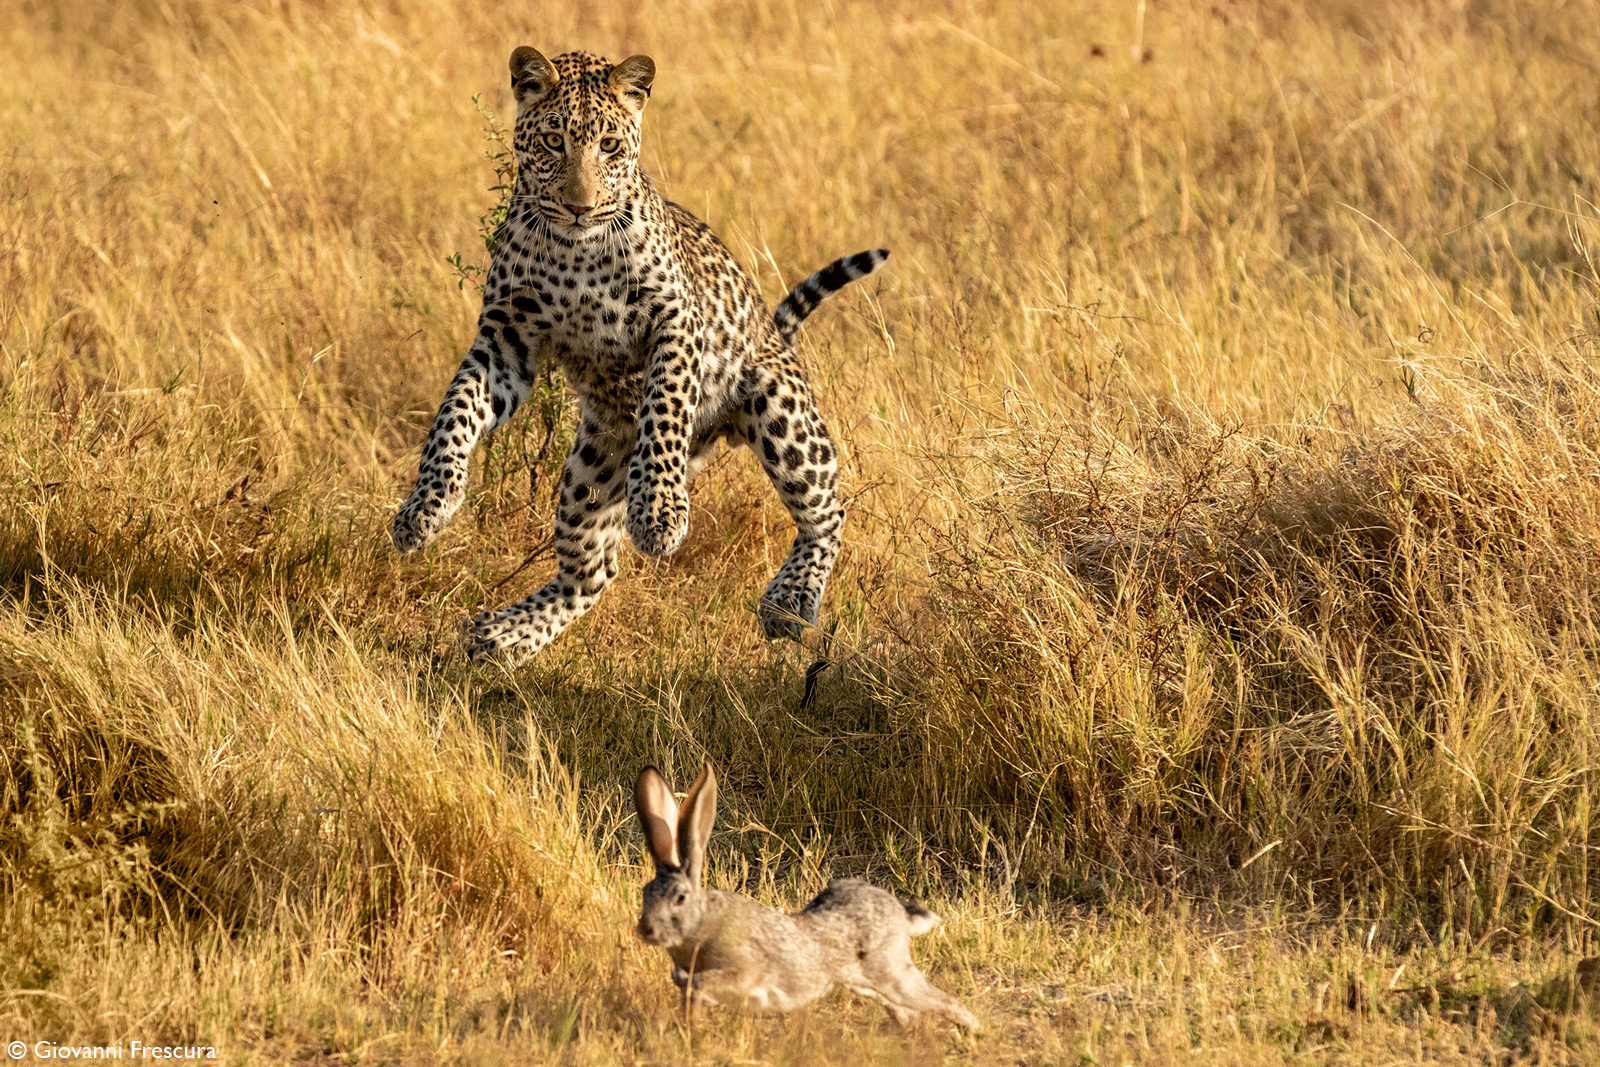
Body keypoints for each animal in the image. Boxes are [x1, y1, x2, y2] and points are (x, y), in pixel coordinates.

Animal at [390, 51, 889, 668]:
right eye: (553, 140)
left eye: (609, 145)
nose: (579, 207)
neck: (574, 251)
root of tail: (774, 331)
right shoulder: (505, 343)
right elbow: (453, 415)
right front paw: (425, 508)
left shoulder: (674, 321)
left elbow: (665, 408)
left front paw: (659, 514)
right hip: (592, 471)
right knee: (590, 574)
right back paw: (501, 636)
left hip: (781, 411)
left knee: (827, 511)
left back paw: (789, 602)